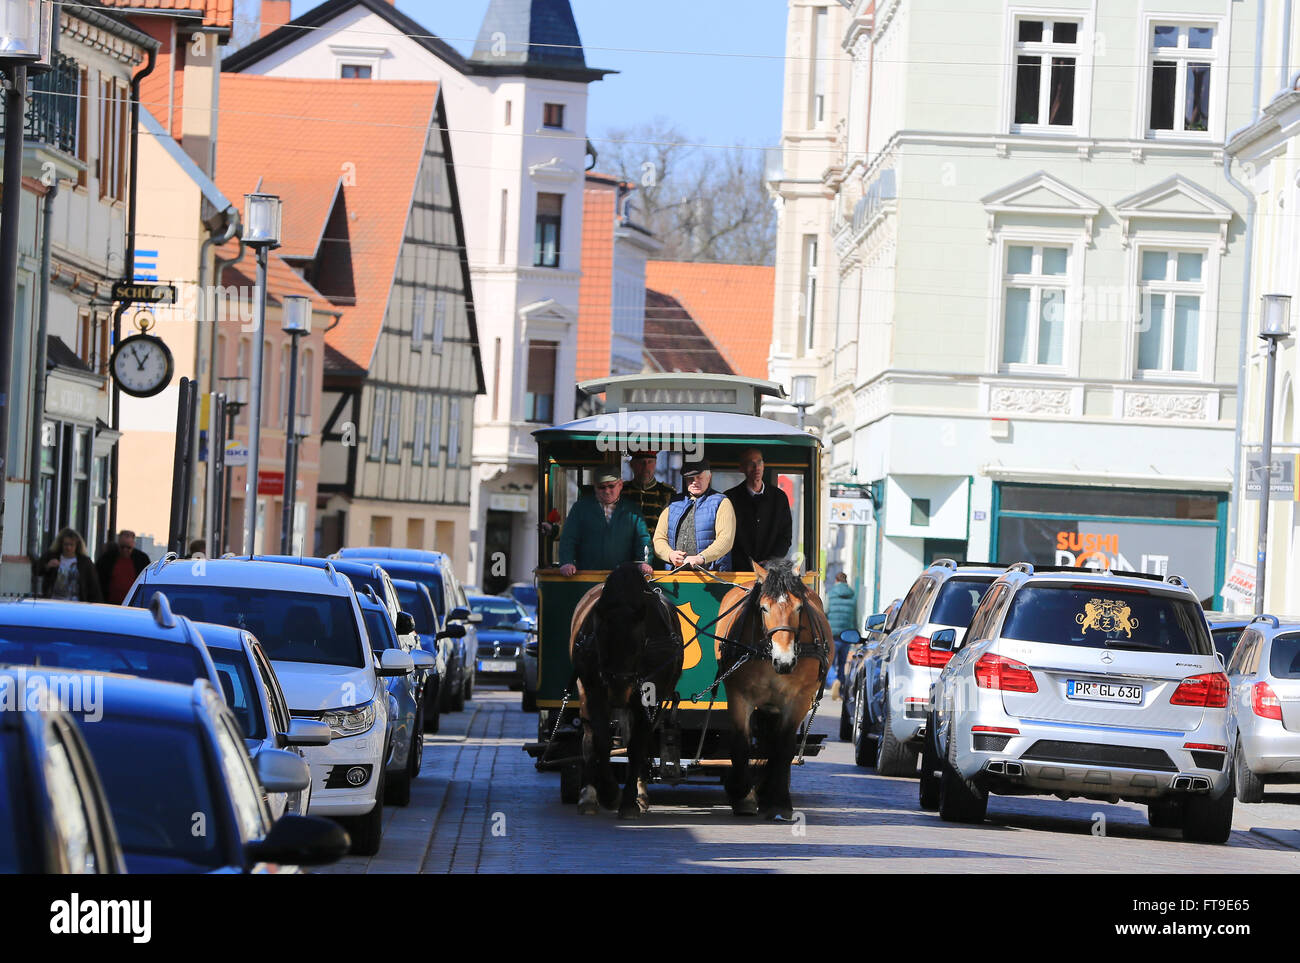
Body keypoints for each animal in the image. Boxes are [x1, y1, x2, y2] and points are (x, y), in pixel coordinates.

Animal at [572, 564, 686, 821]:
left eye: (638, 647)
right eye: (601, 644)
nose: (619, 692)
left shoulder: (652, 698)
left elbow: (636, 746)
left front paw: (629, 803)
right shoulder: (595, 690)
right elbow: (602, 741)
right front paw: (610, 794)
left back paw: (640, 795)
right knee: (589, 736)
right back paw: (588, 796)